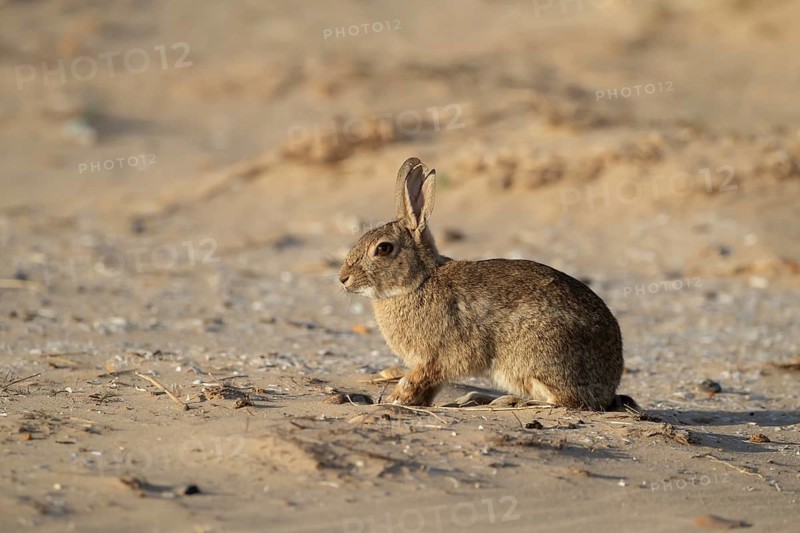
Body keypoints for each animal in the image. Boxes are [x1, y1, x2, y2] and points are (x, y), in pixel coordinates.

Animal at [338, 157, 636, 410]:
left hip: (533, 359)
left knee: (565, 400)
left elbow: (417, 378)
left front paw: (397, 399)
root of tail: (608, 385)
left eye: (383, 248)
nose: (343, 278)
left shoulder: (438, 357)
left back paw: (510, 401)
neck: (419, 281)